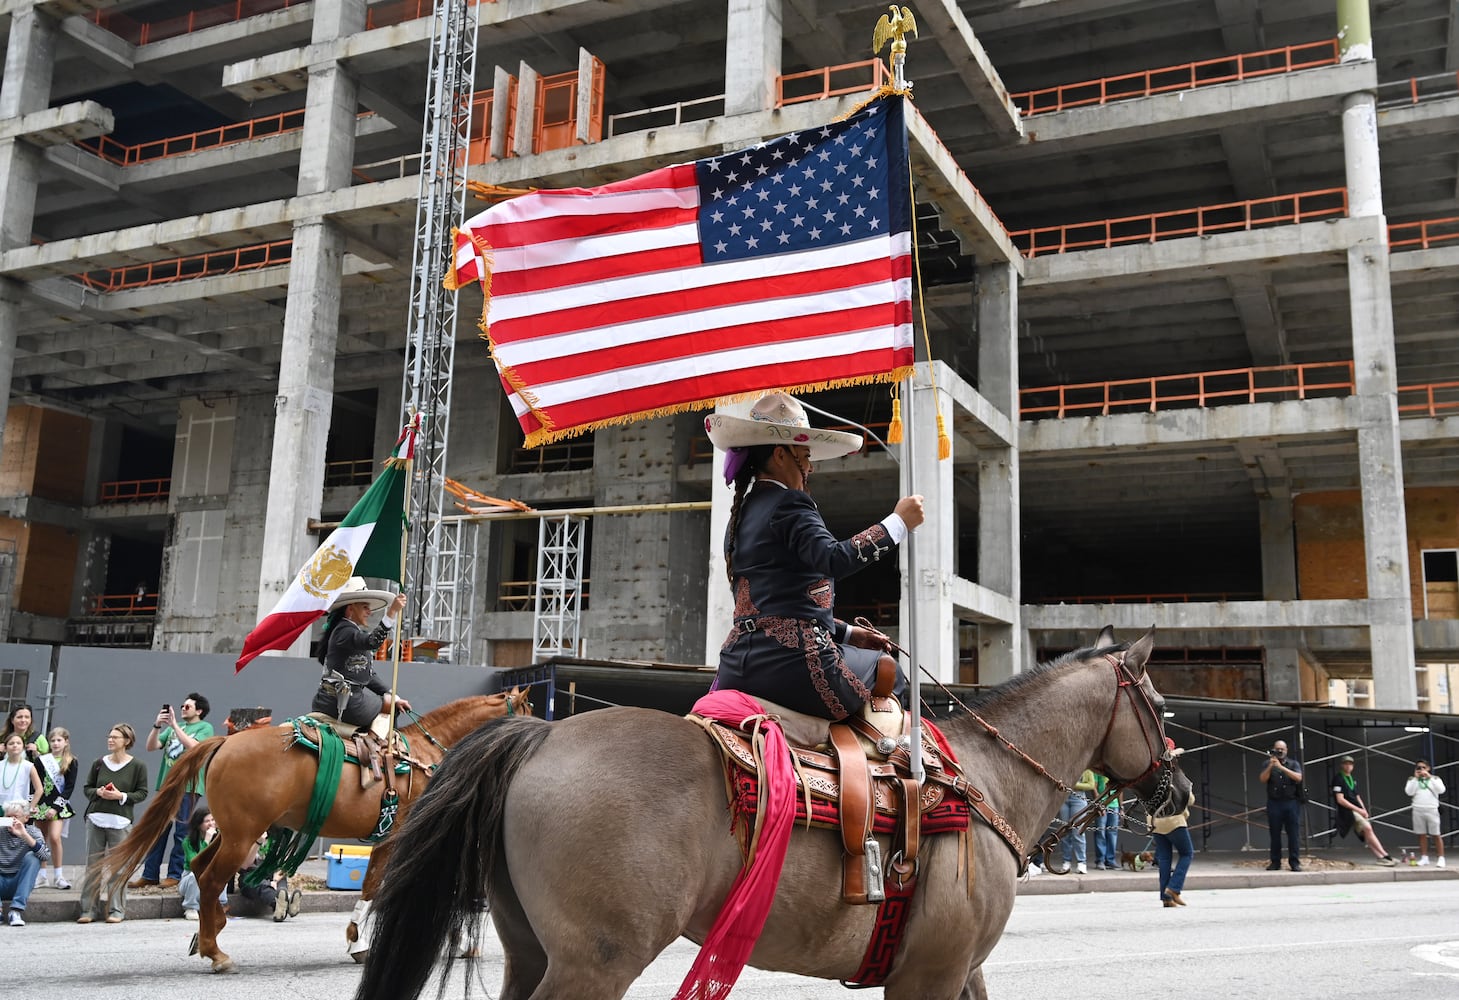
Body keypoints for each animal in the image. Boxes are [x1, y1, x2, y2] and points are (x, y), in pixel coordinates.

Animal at [106, 689, 531, 969]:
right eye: (530, 708)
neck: (426, 758)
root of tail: (225, 742)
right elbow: (384, 889)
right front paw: (360, 944)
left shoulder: (392, 840)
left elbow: (377, 886)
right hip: (243, 836)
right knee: (210, 880)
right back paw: (217, 952)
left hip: (232, 833)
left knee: (199, 868)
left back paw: (211, 931)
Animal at [358, 627, 1190, 992]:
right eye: (1157, 708)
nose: (1179, 793)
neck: (982, 779)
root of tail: (540, 735)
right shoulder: (930, 971)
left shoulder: (955, 970)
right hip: (595, 962)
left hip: (531, 949)